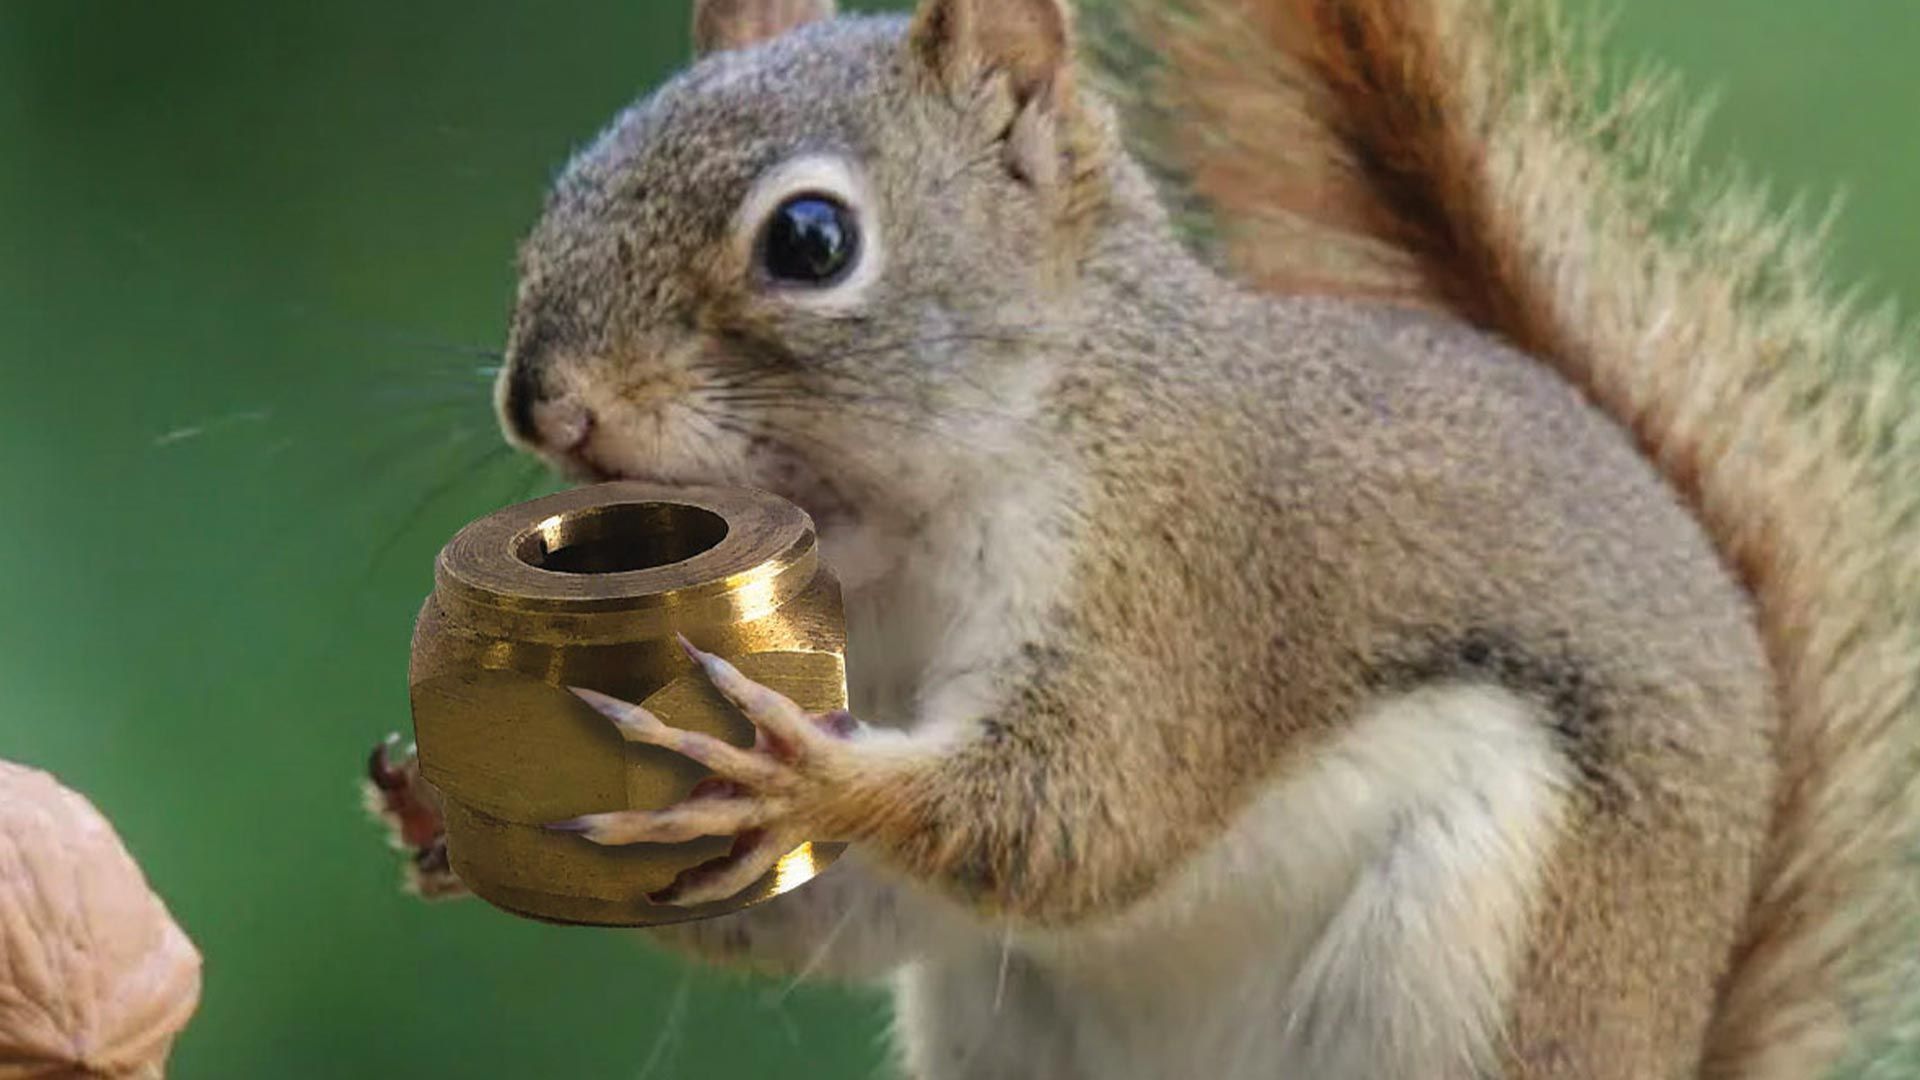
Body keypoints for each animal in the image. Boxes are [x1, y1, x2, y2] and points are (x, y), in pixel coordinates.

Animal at [367, 0, 1920, 1075]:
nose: (545, 401)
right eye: (563, 192)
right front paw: (436, 805)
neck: (896, 534)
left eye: (810, 240)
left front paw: (801, 777)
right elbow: (843, 908)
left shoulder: (1181, 571)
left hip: (1480, 964)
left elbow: (1085, 810)